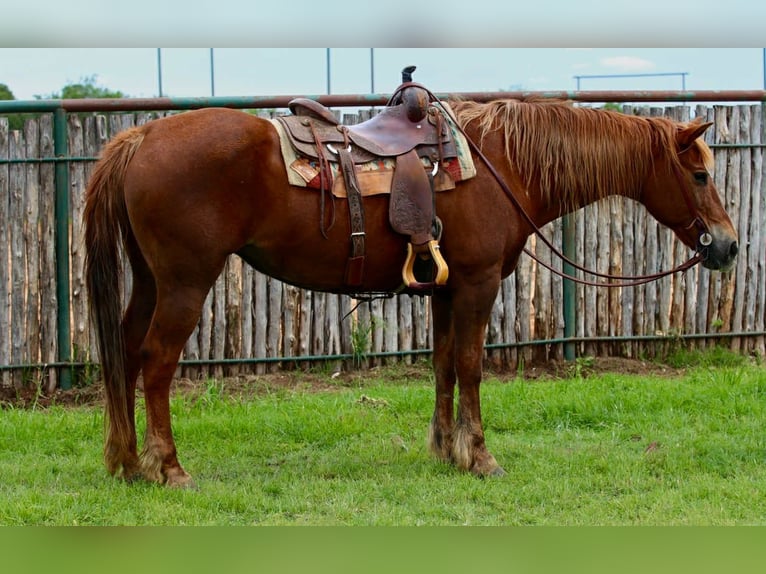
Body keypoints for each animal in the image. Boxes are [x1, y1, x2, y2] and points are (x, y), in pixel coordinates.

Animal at [84, 97, 738, 487]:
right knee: (155, 362)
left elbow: (443, 363)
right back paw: (169, 468)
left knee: (124, 350)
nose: (728, 246)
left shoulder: (446, 288)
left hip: (151, 280)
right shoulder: (476, 283)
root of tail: (138, 139)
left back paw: (126, 462)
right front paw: (480, 455)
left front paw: (444, 449)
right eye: (700, 174)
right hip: (185, 282)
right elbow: (471, 364)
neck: (501, 163)